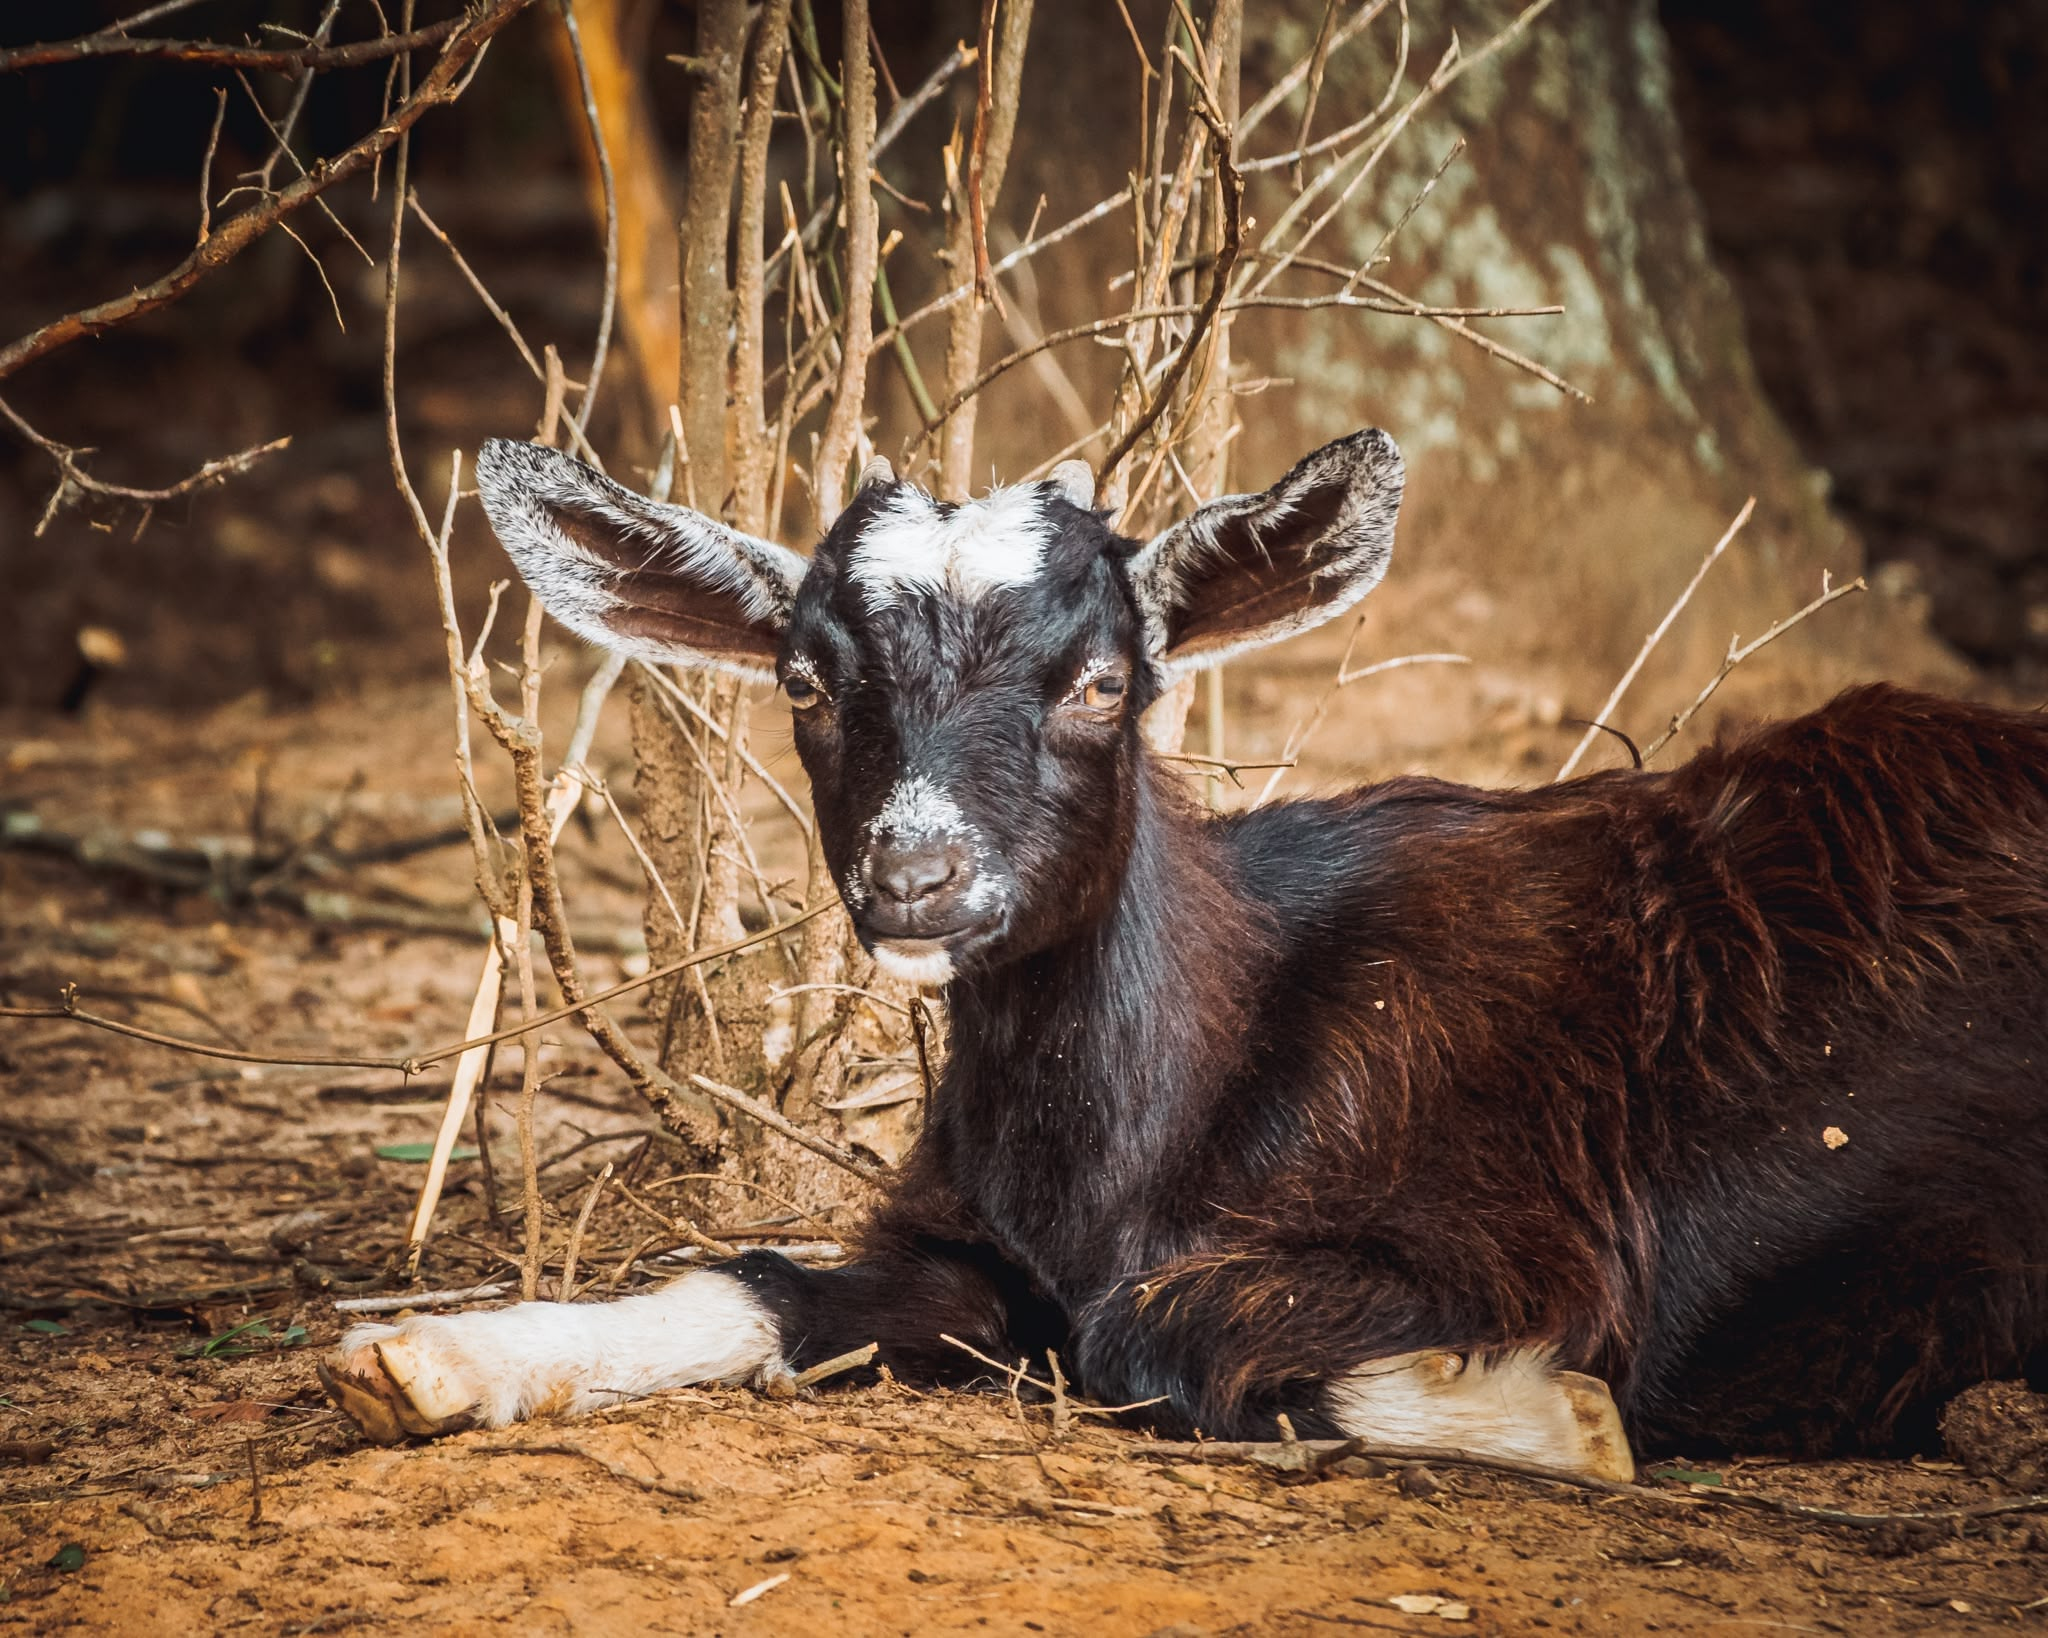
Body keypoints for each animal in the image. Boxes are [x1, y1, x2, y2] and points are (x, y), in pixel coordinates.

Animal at [321, 431, 2048, 1479]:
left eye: (1102, 679)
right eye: (806, 680)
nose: (916, 874)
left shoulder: (1538, 1236)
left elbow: (1145, 1329)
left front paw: (1555, 1414)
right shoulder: (974, 1250)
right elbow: (762, 1281)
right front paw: (426, 1358)